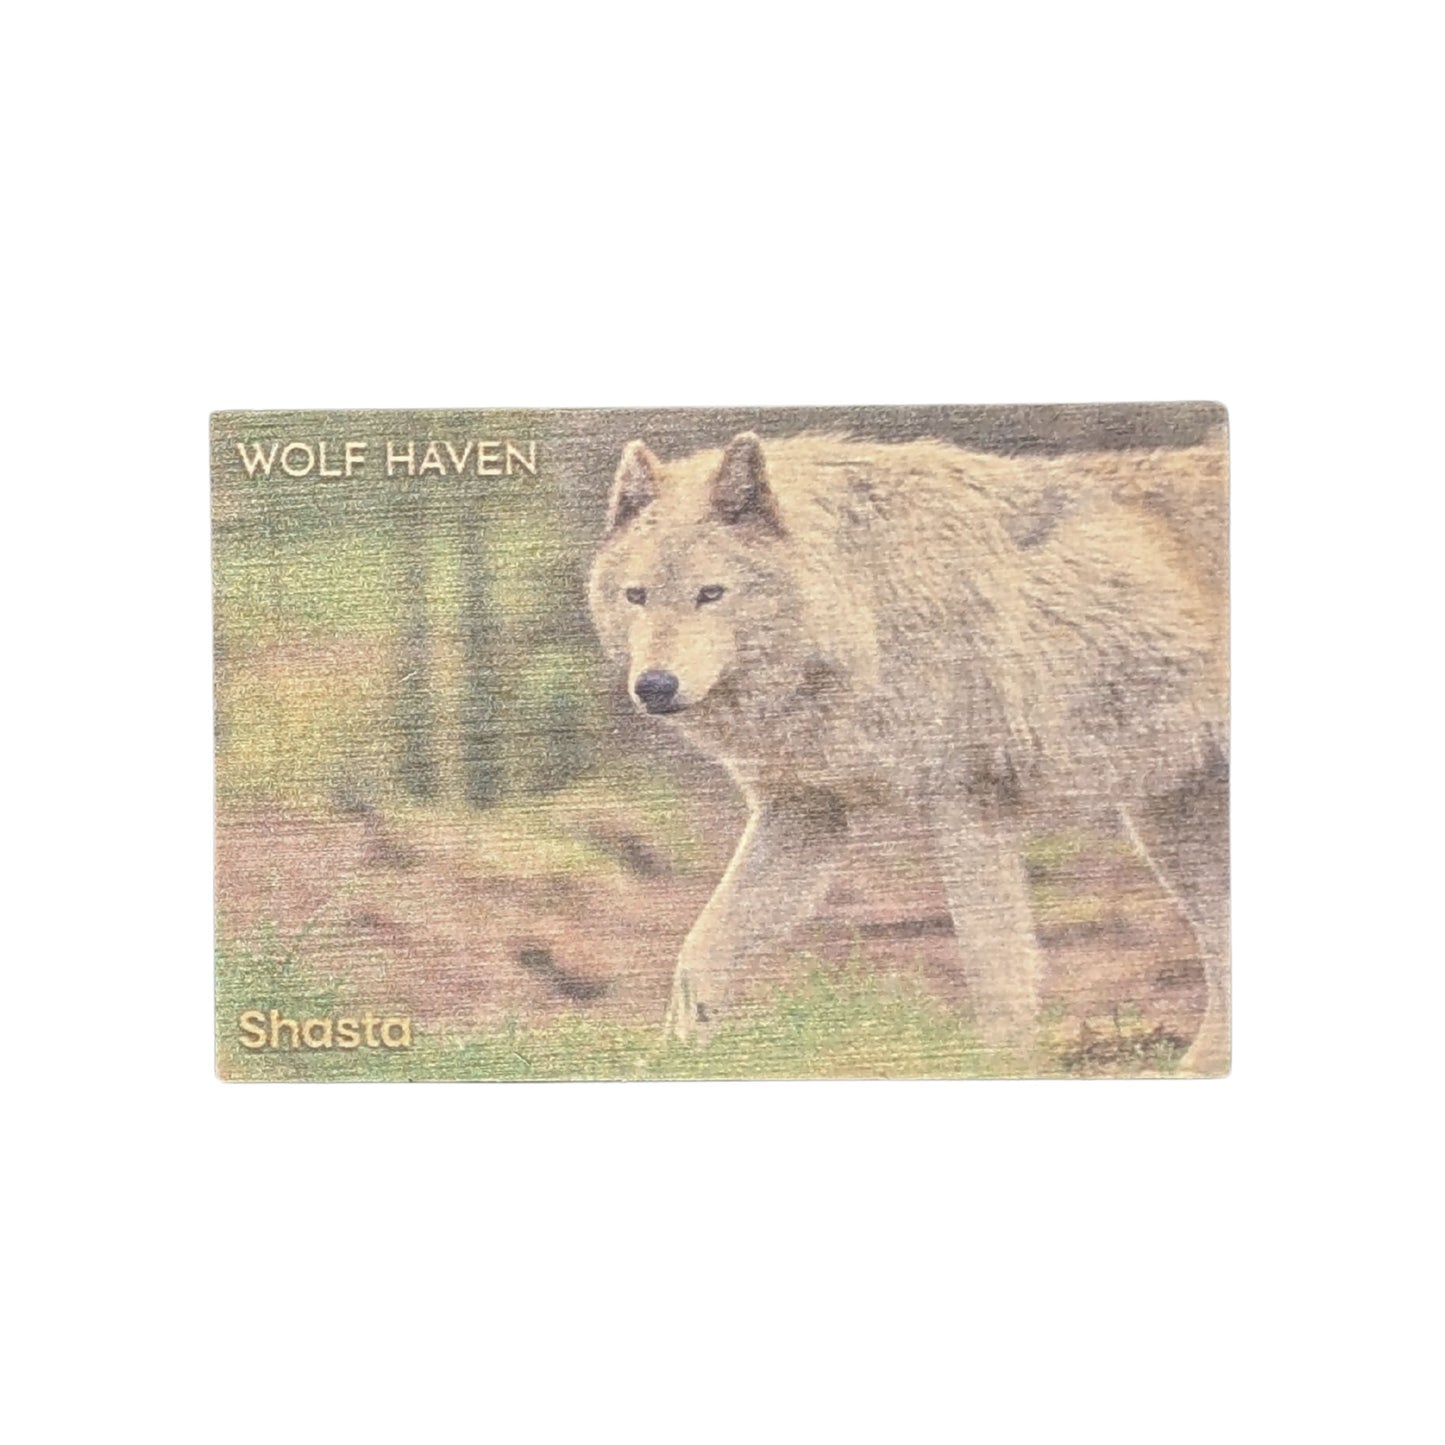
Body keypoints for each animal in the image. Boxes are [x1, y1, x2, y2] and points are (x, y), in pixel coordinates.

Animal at [588, 431, 1229, 1074]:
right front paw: (673, 1062)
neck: (866, 601)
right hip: (1168, 829)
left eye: (710, 594)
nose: (654, 686)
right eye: (637, 596)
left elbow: (994, 971)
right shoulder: (804, 815)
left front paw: (998, 1066)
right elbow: (700, 951)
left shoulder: (968, 808)